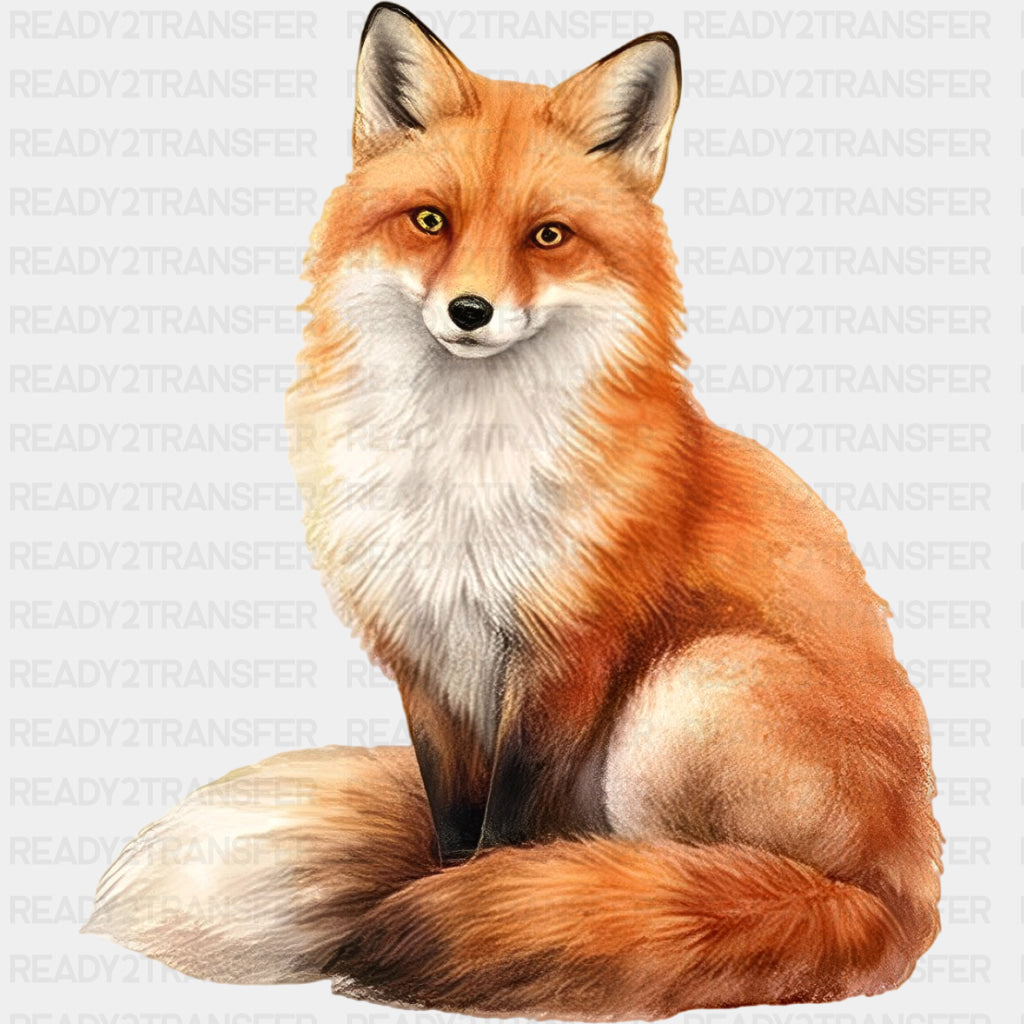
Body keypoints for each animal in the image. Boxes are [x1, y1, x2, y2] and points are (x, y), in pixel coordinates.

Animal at [84, 4, 943, 1020]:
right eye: (430, 221)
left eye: (547, 236)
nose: (469, 310)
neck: (461, 471)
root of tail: (905, 902)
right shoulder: (426, 657)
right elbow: (456, 820)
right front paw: (457, 896)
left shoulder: (566, 653)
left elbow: (509, 822)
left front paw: (483, 913)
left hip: (694, 686)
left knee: (704, 881)